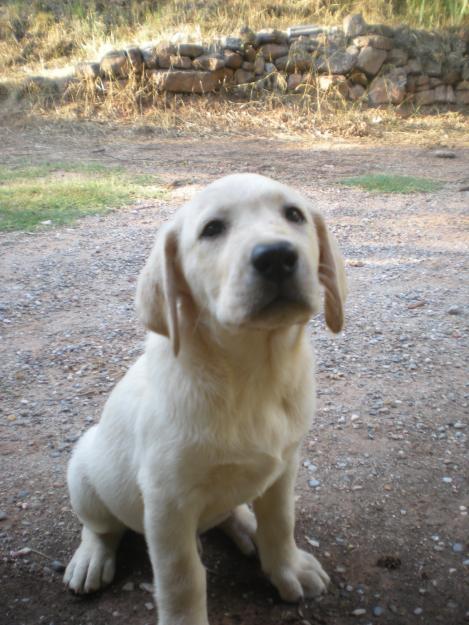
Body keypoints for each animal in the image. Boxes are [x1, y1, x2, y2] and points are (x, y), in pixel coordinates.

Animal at [64, 172, 346, 624]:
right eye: (212, 229)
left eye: (294, 215)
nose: (277, 257)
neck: (253, 375)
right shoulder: (167, 500)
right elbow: (182, 577)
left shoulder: (285, 466)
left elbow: (281, 523)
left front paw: (288, 568)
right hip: (84, 471)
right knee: (101, 527)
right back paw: (92, 558)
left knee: (229, 512)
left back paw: (246, 526)